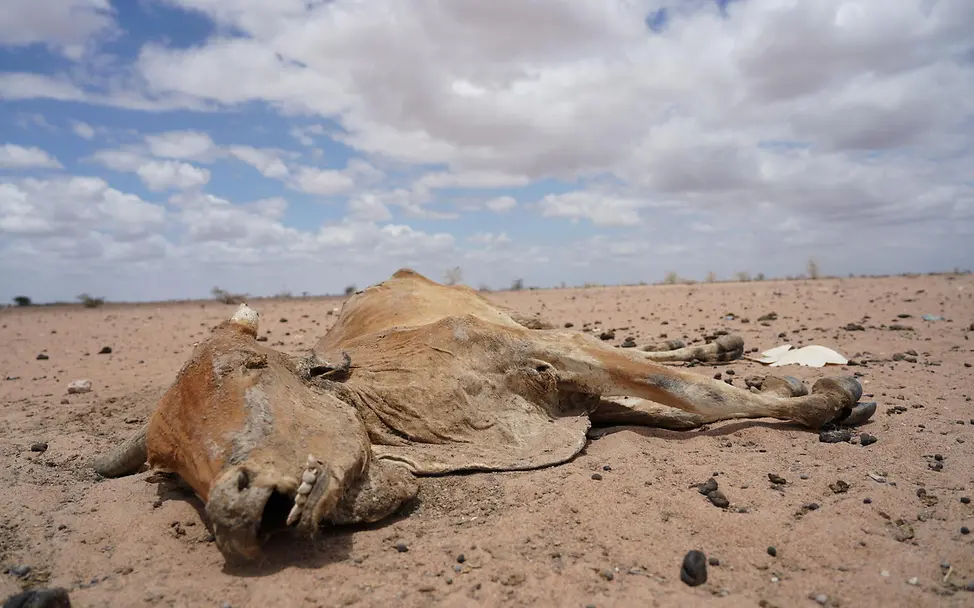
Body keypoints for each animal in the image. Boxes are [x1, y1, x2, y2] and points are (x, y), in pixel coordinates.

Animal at [91, 269, 875, 564]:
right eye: (166, 467)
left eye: (253, 369)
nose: (235, 507)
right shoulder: (581, 396)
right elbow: (680, 406)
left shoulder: (543, 348)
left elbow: (699, 393)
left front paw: (827, 399)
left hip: (520, 316)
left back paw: (724, 345)